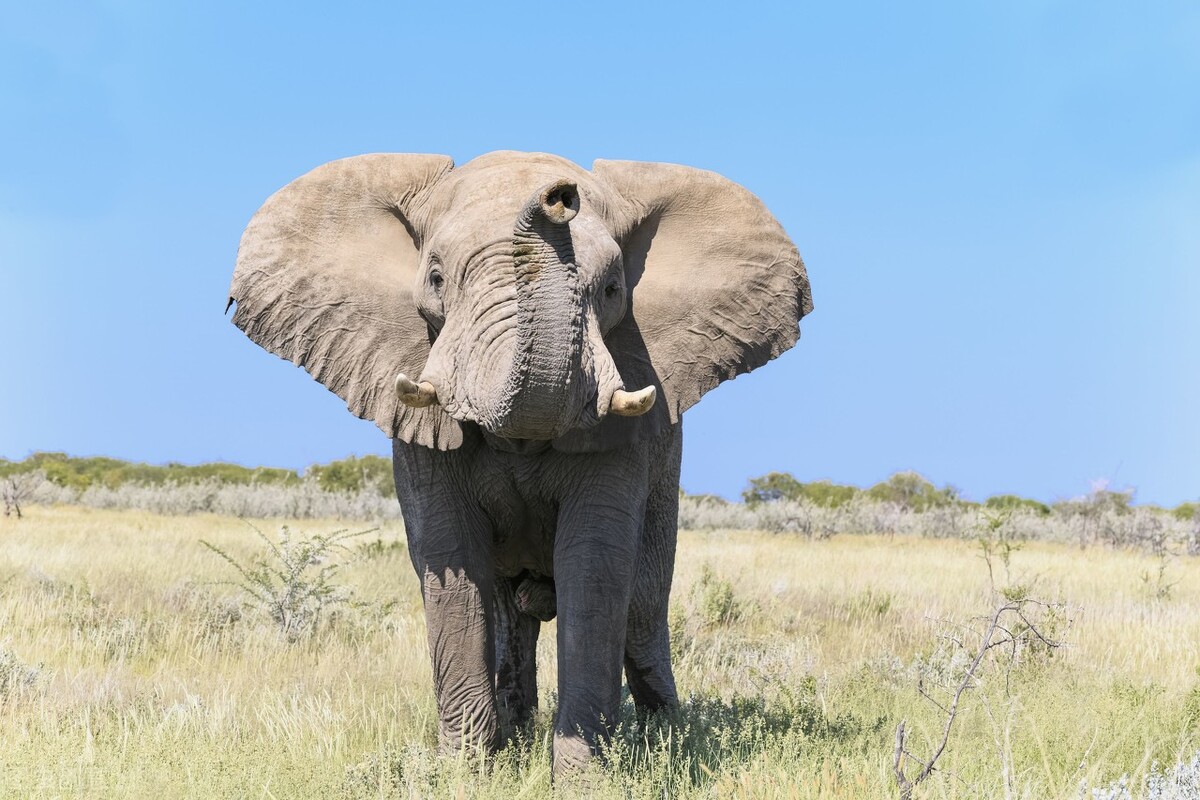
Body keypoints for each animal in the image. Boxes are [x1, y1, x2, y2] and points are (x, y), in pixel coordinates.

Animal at [227, 150, 812, 774]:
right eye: (436, 278)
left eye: (612, 289)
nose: (558, 195)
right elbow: (452, 559)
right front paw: (465, 774)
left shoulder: (623, 431)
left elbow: (595, 566)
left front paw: (583, 777)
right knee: (511, 615)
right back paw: (516, 735)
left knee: (642, 615)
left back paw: (669, 740)